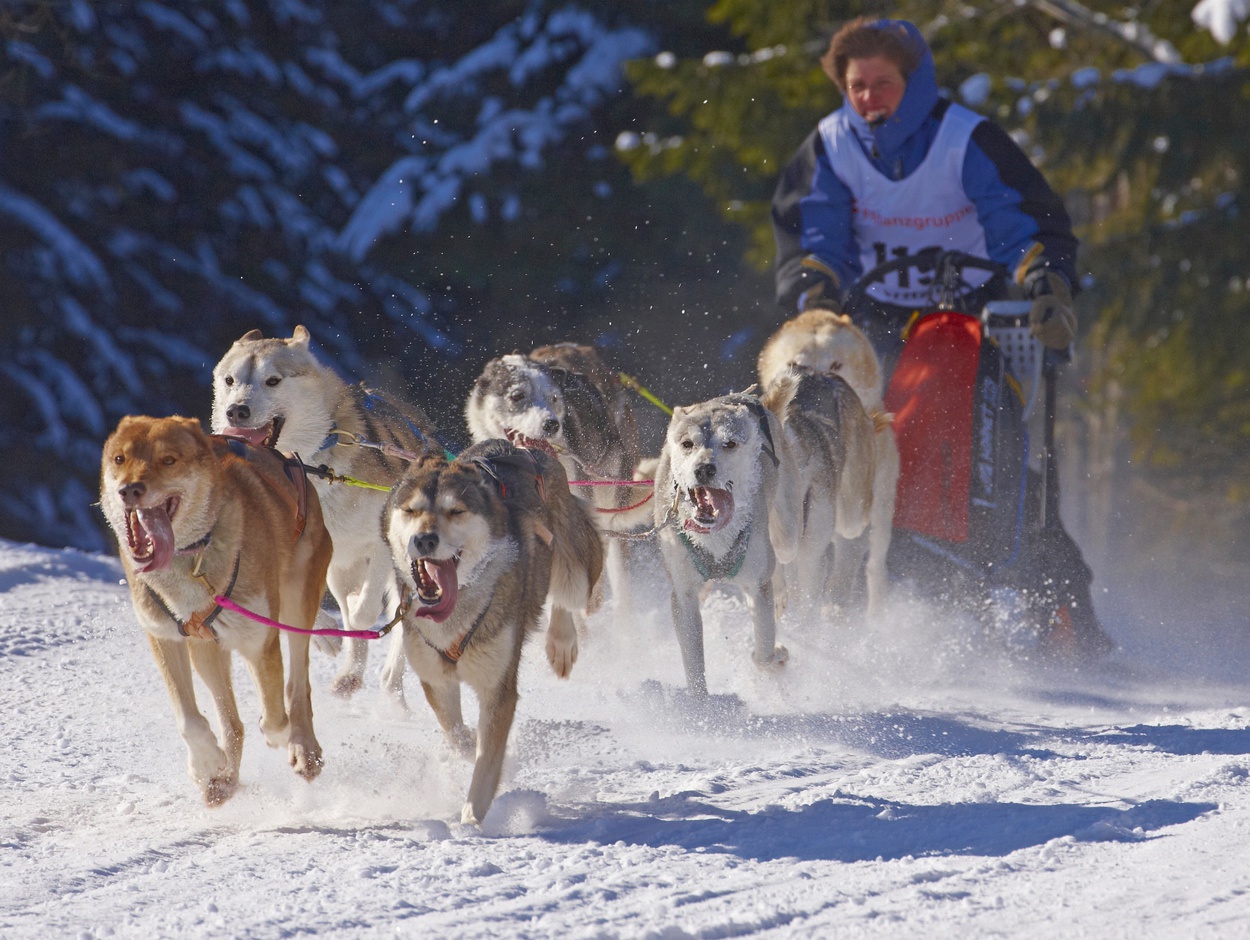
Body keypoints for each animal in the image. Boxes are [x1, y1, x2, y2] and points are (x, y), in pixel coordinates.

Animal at [100, 415, 333, 805]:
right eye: (120, 459)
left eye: (168, 460)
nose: (129, 490)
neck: (192, 560)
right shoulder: (165, 637)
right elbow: (190, 720)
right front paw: (207, 763)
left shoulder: (259, 642)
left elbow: (274, 719)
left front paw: (280, 737)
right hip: (206, 649)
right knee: (232, 723)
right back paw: (224, 779)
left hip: (297, 604)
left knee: (296, 685)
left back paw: (303, 747)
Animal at [212, 325, 441, 701]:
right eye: (230, 380)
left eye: (272, 380)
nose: (235, 411)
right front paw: (326, 636)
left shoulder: (383, 543)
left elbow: (365, 611)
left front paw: (355, 615)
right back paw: (351, 673)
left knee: (400, 618)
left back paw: (390, 680)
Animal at [383, 439, 603, 824]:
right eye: (410, 510)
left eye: (456, 511)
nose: (424, 540)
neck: (455, 612)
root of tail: (525, 447)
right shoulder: (436, 680)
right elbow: (459, 736)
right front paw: (470, 746)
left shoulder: (498, 689)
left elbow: (487, 760)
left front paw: (473, 815)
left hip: (576, 571)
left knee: (566, 595)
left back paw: (561, 643)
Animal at [652, 392, 801, 695]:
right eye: (688, 444)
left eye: (729, 443)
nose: (703, 469)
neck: (714, 535)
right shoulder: (683, 596)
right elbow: (694, 666)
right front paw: (701, 704)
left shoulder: (756, 585)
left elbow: (764, 651)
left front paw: (775, 655)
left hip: (785, 535)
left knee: (779, 560)